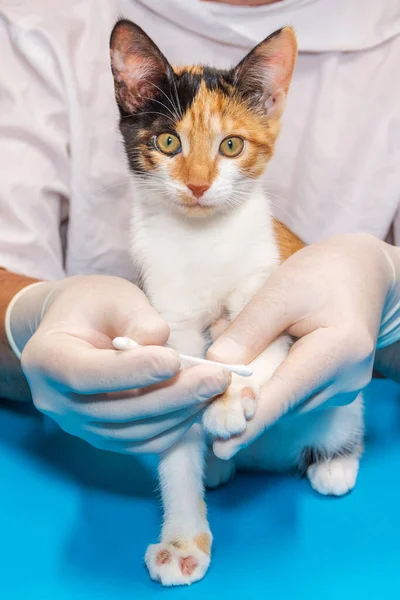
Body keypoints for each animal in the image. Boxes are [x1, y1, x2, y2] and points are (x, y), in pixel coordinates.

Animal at [111, 22, 364, 584]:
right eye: (168, 141)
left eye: (231, 145)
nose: (199, 184)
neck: (200, 241)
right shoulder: (168, 314)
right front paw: (182, 540)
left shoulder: (270, 277)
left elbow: (255, 339)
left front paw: (229, 398)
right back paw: (222, 466)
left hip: (347, 402)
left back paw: (335, 462)